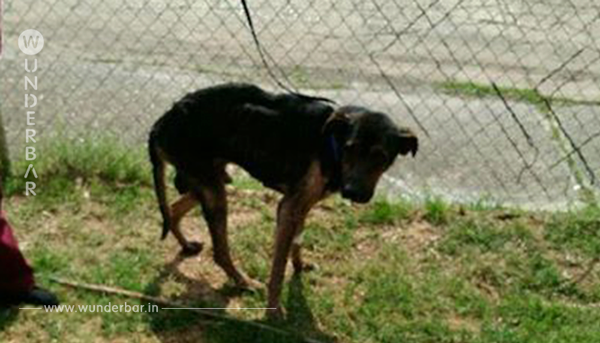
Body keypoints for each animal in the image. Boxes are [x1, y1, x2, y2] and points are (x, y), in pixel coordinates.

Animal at [148, 84, 420, 320]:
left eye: (380, 156)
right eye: (350, 148)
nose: (351, 192)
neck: (331, 142)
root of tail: (161, 122)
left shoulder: (303, 204)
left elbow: (296, 242)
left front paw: (299, 267)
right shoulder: (288, 208)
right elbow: (277, 269)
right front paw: (274, 311)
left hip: (212, 180)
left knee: (173, 210)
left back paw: (186, 246)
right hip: (213, 190)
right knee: (220, 251)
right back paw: (243, 281)